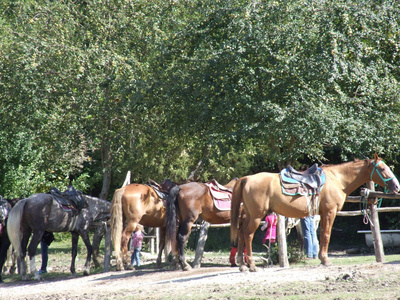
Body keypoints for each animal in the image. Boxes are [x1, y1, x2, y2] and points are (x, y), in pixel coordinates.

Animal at [230, 155, 398, 272]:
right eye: (382, 169)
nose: (396, 186)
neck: (338, 179)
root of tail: (246, 179)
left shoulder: (323, 214)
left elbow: (322, 235)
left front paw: (322, 259)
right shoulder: (330, 212)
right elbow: (326, 235)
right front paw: (326, 260)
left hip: (248, 216)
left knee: (241, 234)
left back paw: (242, 265)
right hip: (256, 217)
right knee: (248, 235)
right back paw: (251, 265)